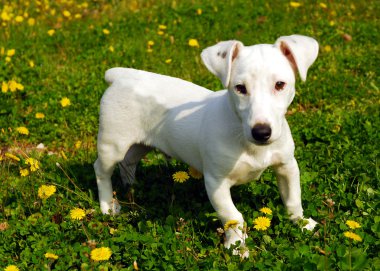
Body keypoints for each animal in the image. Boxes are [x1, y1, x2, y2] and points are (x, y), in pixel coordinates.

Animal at [94, 35, 318, 256]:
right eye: (240, 88)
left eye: (280, 84)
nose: (261, 133)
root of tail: (121, 76)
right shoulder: (215, 181)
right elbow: (232, 216)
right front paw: (237, 247)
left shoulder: (287, 166)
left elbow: (293, 198)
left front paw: (303, 223)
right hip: (112, 143)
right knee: (102, 170)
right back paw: (108, 206)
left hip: (142, 143)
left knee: (128, 161)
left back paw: (131, 187)